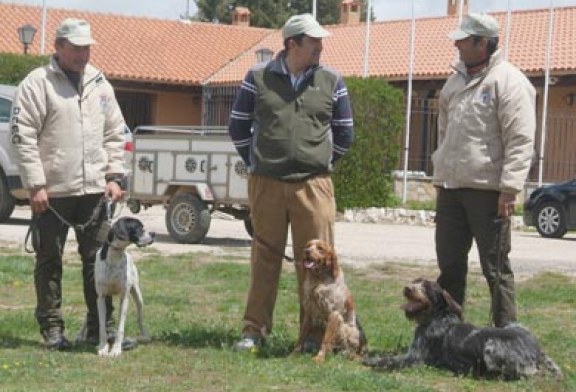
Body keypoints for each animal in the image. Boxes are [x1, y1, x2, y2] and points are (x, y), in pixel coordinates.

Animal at [80, 216, 155, 356]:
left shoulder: (124, 297)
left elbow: (120, 327)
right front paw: (103, 347)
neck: (115, 254)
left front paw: (115, 349)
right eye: (138, 227)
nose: (154, 234)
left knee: (139, 318)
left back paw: (145, 335)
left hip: (138, 297)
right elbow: (102, 326)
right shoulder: (101, 297)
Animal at [364, 278, 564, 380]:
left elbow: (389, 360)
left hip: (492, 345)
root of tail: (537, 350)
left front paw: (371, 361)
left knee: (525, 373)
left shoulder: (415, 358)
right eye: (415, 281)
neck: (437, 317)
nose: (407, 288)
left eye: (426, 287)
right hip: (513, 325)